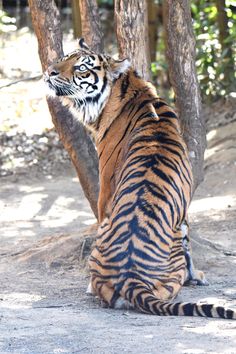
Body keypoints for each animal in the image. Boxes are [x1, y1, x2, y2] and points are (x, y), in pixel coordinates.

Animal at [44, 38, 236, 320]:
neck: (129, 89)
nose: (49, 72)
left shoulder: (106, 193)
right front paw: (197, 276)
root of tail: (132, 277)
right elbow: (189, 240)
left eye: (80, 67)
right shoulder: (182, 209)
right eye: (64, 58)